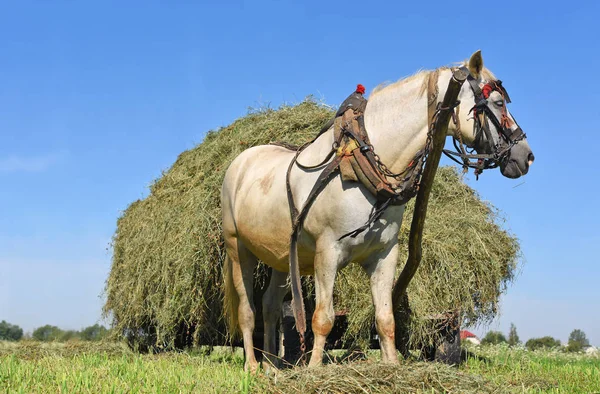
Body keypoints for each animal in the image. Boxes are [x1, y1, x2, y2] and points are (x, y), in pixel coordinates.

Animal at [221, 50, 536, 370]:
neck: (360, 164)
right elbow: (323, 318)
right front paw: (314, 370)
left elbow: (385, 319)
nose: (526, 156)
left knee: (270, 306)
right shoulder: (327, 252)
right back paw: (253, 366)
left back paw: (272, 364)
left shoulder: (384, 254)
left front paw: (392, 365)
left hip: (282, 258)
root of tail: (241, 161)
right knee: (248, 310)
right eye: (498, 103)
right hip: (238, 250)